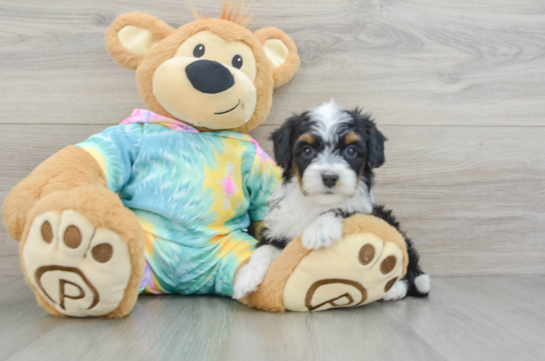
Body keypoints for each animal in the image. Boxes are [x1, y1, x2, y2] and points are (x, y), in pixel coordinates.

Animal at [234, 100, 430, 300]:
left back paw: (396, 288)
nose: (329, 177)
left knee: (409, 265)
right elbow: (263, 249)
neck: (316, 203)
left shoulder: (364, 210)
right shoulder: (279, 226)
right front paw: (247, 277)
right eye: (307, 150)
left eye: (351, 150)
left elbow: (342, 207)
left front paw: (319, 231)